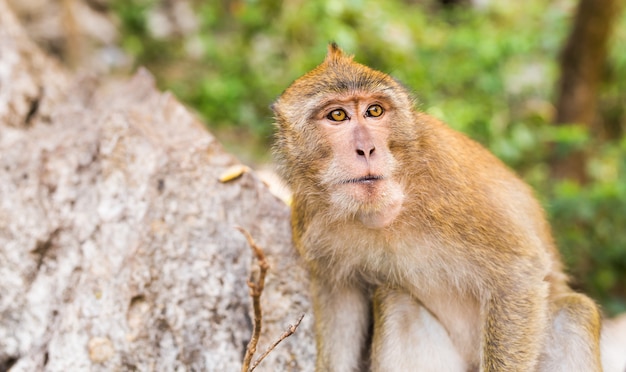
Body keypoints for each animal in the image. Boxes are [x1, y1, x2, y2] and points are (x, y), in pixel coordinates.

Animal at [270, 44, 604, 372]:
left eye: (374, 111)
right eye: (337, 115)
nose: (367, 149)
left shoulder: (451, 190)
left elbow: (519, 273)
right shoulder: (311, 220)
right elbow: (340, 297)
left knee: (575, 311)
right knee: (395, 299)